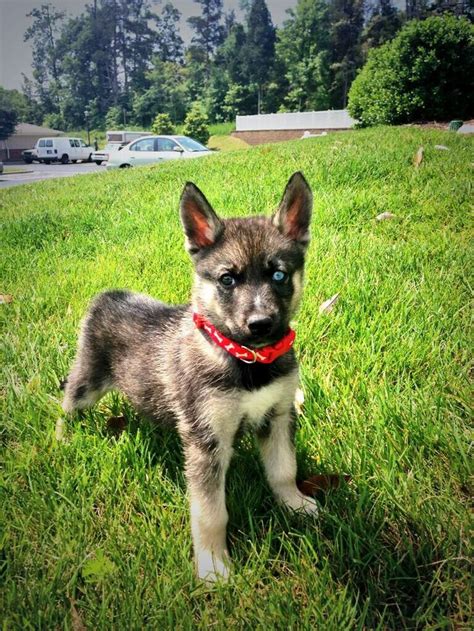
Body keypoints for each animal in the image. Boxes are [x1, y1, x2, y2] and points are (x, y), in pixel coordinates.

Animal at [60, 173, 318, 584]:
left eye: (278, 274)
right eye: (228, 280)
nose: (260, 324)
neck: (247, 360)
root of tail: (110, 295)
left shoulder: (278, 416)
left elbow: (283, 470)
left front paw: (294, 504)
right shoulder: (207, 440)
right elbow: (211, 512)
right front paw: (212, 565)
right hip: (88, 379)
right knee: (67, 403)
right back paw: (62, 439)